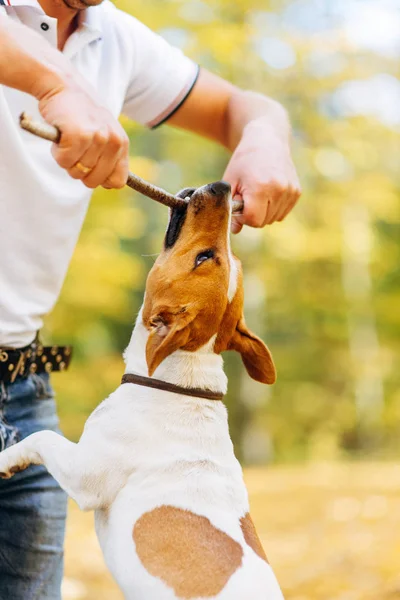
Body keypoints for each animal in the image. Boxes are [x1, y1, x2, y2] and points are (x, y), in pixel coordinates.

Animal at [0, 183, 284, 600]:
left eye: (203, 257)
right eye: (221, 258)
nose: (223, 187)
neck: (179, 381)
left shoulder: (84, 474)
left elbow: (42, 437)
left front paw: (6, 460)